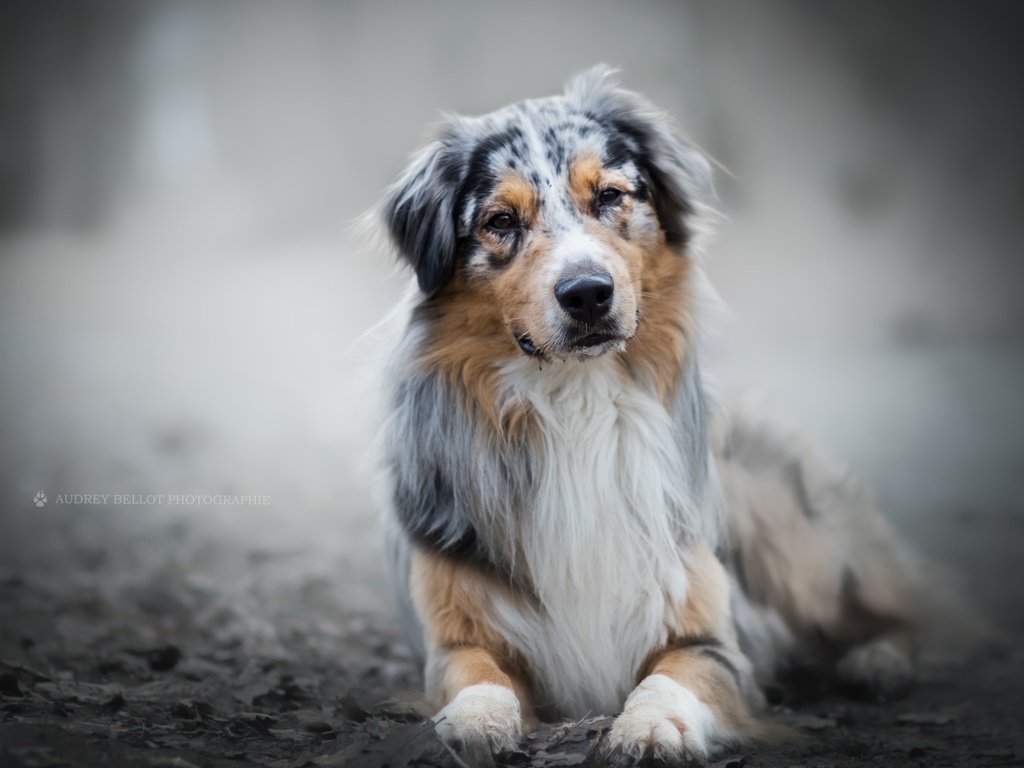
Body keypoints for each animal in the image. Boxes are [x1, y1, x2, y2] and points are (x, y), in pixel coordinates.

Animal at [378, 69, 937, 765]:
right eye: (500, 220)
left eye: (610, 196)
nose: (588, 293)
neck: (576, 401)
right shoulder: (455, 632)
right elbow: (475, 672)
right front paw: (476, 719)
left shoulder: (710, 638)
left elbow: (670, 678)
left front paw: (649, 729)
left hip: (797, 545)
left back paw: (881, 660)